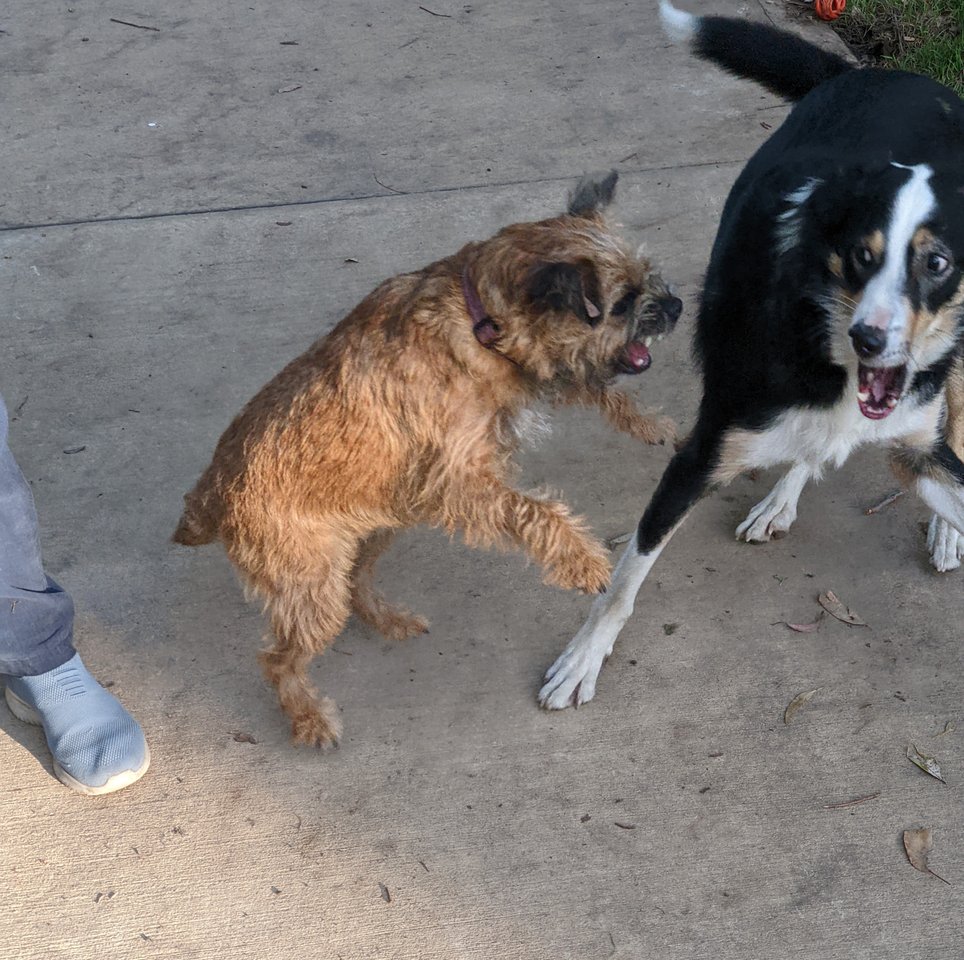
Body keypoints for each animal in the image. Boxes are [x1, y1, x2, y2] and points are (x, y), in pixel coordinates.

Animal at [173, 171, 682, 746]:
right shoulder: (457, 482)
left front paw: (653, 425)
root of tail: (209, 494)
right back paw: (308, 717)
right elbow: (536, 511)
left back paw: (387, 619)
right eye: (622, 303)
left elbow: (599, 391)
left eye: (649, 277)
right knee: (278, 659)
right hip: (312, 588)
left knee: (356, 582)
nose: (676, 306)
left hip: (378, 526)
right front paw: (585, 560)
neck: (483, 319)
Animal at [539, 3, 964, 710]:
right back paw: (782, 498)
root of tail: (877, 72)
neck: (829, 349)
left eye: (937, 264)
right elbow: (624, 580)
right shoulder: (701, 454)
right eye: (862, 255)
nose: (872, 342)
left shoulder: (916, 444)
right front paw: (582, 658)